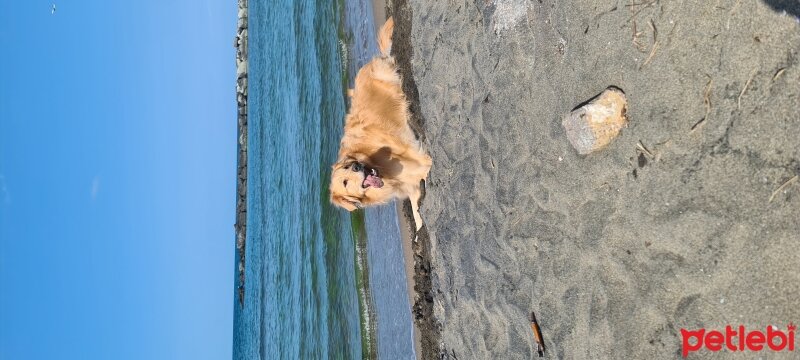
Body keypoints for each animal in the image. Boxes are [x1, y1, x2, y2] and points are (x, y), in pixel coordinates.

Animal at [330, 16, 434, 228]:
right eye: (345, 182)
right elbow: (417, 215)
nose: (357, 166)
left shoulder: (417, 163)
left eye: (348, 167)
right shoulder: (409, 185)